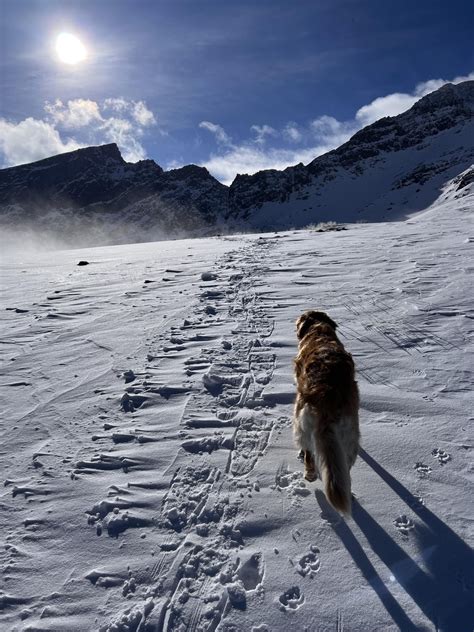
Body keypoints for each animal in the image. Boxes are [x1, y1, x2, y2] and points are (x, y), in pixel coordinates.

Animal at [292, 312, 360, 512]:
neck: (319, 332)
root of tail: (328, 397)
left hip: (300, 419)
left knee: (308, 452)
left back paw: (309, 474)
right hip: (350, 437)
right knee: (344, 468)